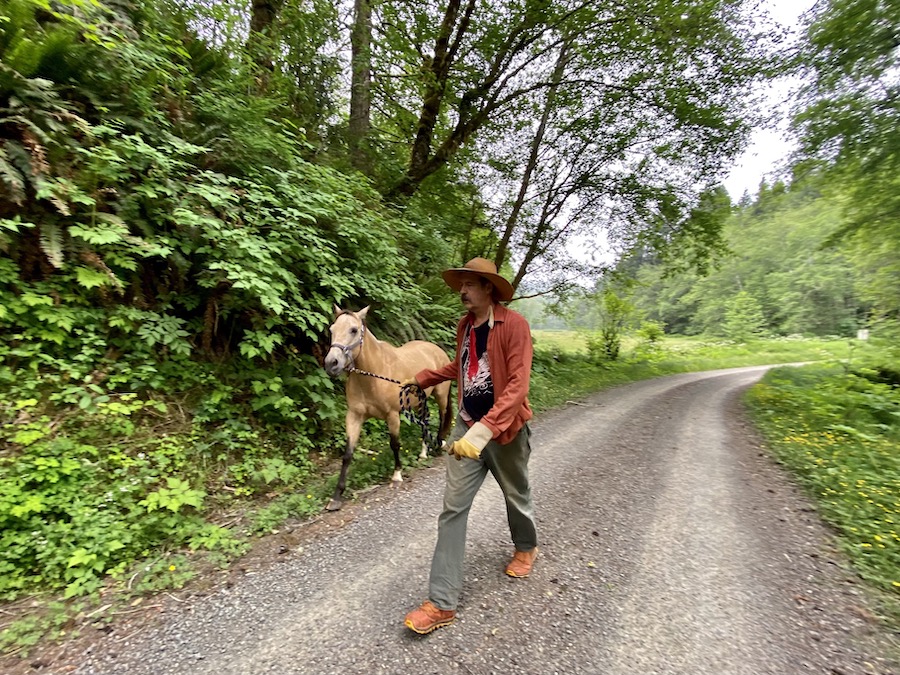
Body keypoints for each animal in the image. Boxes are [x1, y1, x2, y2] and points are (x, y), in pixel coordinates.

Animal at [322, 304, 454, 510]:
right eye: (332, 329)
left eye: (353, 330)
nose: (331, 363)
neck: (373, 375)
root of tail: (436, 349)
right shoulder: (354, 416)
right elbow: (348, 454)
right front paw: (336, 496)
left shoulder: (392, 415)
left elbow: (395, 444)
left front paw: (397, 476)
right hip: (420, 401)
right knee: (424, 420)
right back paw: (423, 452)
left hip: (440, 396)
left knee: (442, 416)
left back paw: (438, 445)